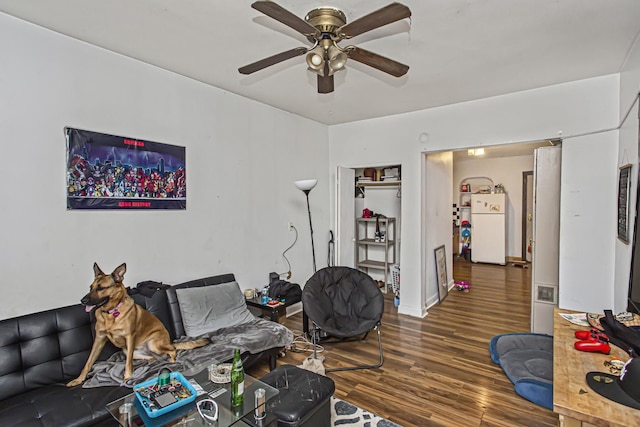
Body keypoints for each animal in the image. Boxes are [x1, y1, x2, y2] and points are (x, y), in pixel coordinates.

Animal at [67, 262, 208, 386]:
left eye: (101, 288)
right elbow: (88, 362)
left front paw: (127, 377)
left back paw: (172, 361)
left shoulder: (130, 336)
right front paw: (78, 380)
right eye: (91, 287)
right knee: (156, 357)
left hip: (153, 344)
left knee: (172, 350)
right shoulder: (99, 339)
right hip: (132, 351)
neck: (111, 313)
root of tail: (169, 342)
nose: (82, 301)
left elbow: (128, 362)